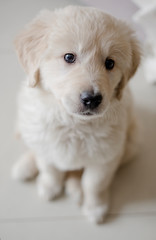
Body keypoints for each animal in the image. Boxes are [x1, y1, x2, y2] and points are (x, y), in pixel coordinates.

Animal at [12, 5, 141, 223]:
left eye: (110, 63)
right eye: (69, 57)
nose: (92, 99)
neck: (74, 123)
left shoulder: (106, 156)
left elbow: (93, 183)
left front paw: (95, 207)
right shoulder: (45, 142)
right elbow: (50, 168)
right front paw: (49, 186)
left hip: (131, 144)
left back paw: (75, 188)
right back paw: (25, 167)